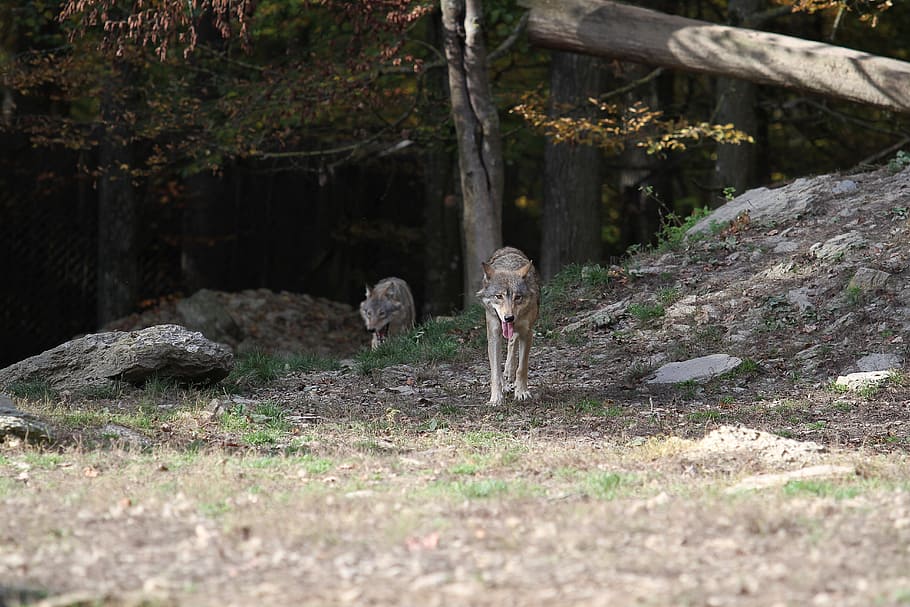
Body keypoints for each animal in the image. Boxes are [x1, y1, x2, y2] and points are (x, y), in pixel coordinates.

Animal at [477, 247, 540, 404]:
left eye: (517, 297)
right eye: (498, 296)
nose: (509, 317)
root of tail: (507, 248)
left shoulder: (527, 333)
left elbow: (522, 368)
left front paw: (522, 392)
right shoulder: (494, 335)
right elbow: (495, 371)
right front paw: (495, 398)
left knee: (512, 343)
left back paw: (509, 372)